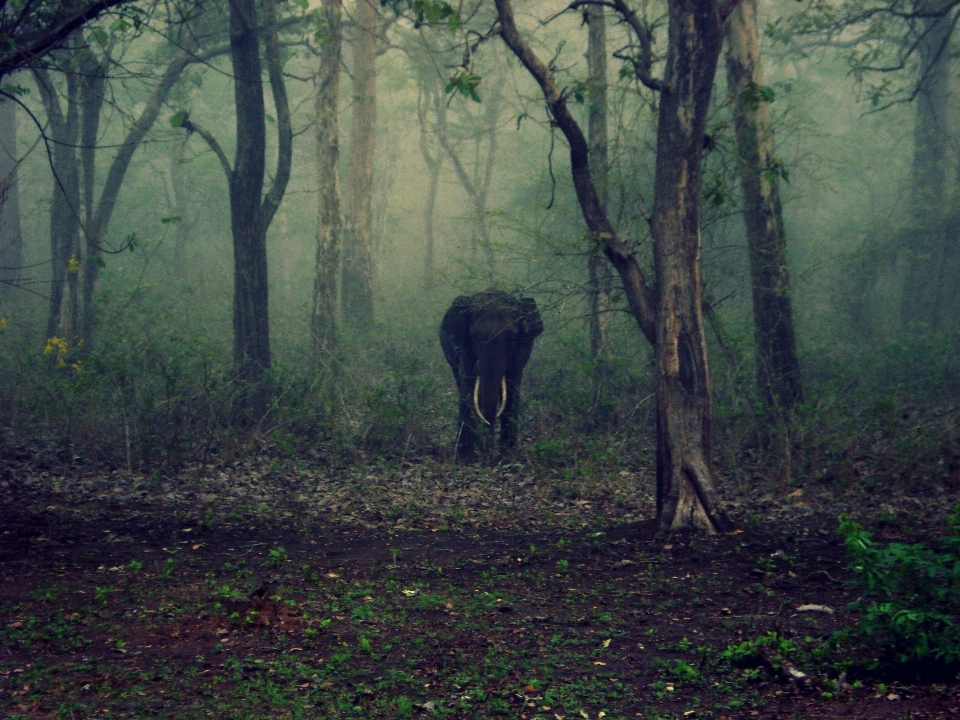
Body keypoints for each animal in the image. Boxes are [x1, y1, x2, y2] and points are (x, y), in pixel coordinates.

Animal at [440, 290, 544, 458]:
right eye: (474, 335)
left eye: (512, 336)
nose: (488, 454)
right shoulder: (464, 346)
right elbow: (468, 385)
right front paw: (463, 457)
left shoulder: (522, 347)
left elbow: (512, 386)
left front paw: (507, 455)